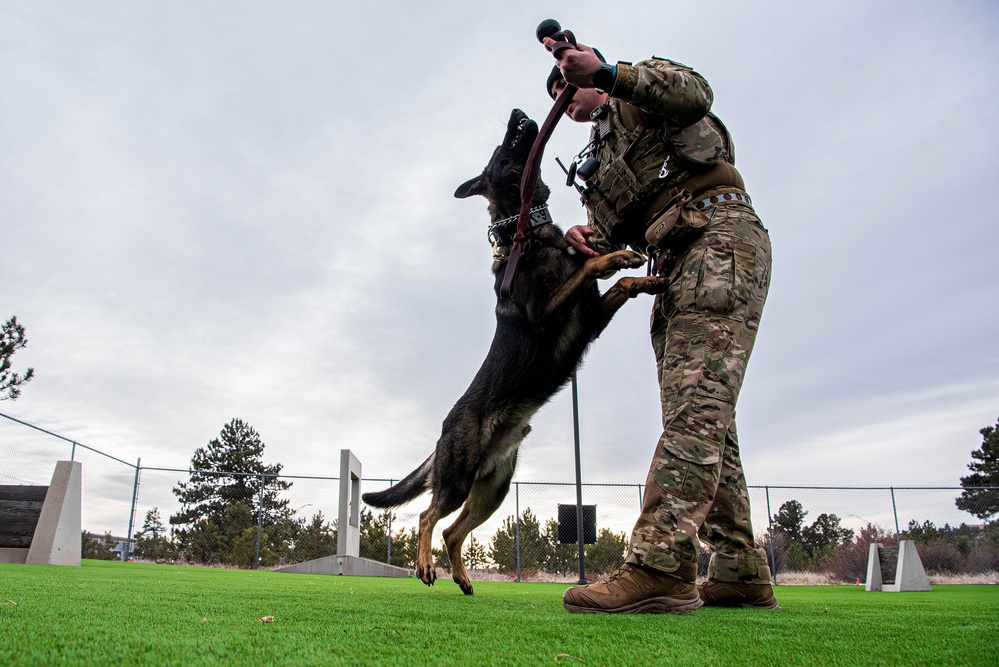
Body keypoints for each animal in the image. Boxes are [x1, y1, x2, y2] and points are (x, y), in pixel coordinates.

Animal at [364, 108, 668, 596]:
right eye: (502, 149)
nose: (518, 113)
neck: (529, 236)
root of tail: (443, 432)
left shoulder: (590, 320)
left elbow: (618, 284)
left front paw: (644, 275)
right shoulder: (547, 314)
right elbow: (588, 267)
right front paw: (612, 256)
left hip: (493, 489)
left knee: (452, 531)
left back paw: (462, 578)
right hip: (457, 478)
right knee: (427, 517)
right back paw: (426, 567)